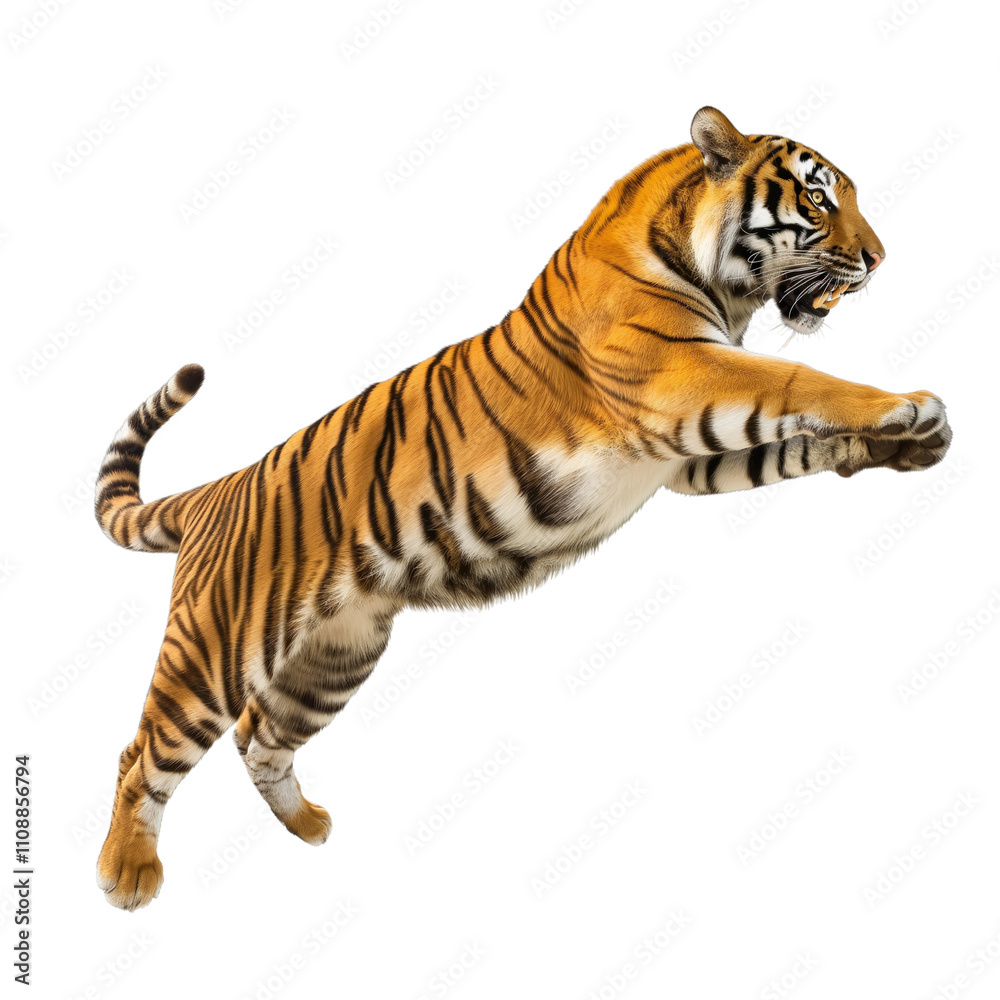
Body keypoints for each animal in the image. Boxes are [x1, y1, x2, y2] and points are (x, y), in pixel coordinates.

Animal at [94, 106, 951, 909]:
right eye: (818, 196)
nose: (879, 258)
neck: (716, 281)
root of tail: (220, 487)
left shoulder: (685, 458)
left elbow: (798, 440)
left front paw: (908, 442)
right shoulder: (684, 377)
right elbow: (802, 379)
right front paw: (908, 403)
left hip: (337, 654)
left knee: (260, 735)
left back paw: (308, 826)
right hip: (220, 642)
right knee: (146, 753)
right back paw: (127, 874)